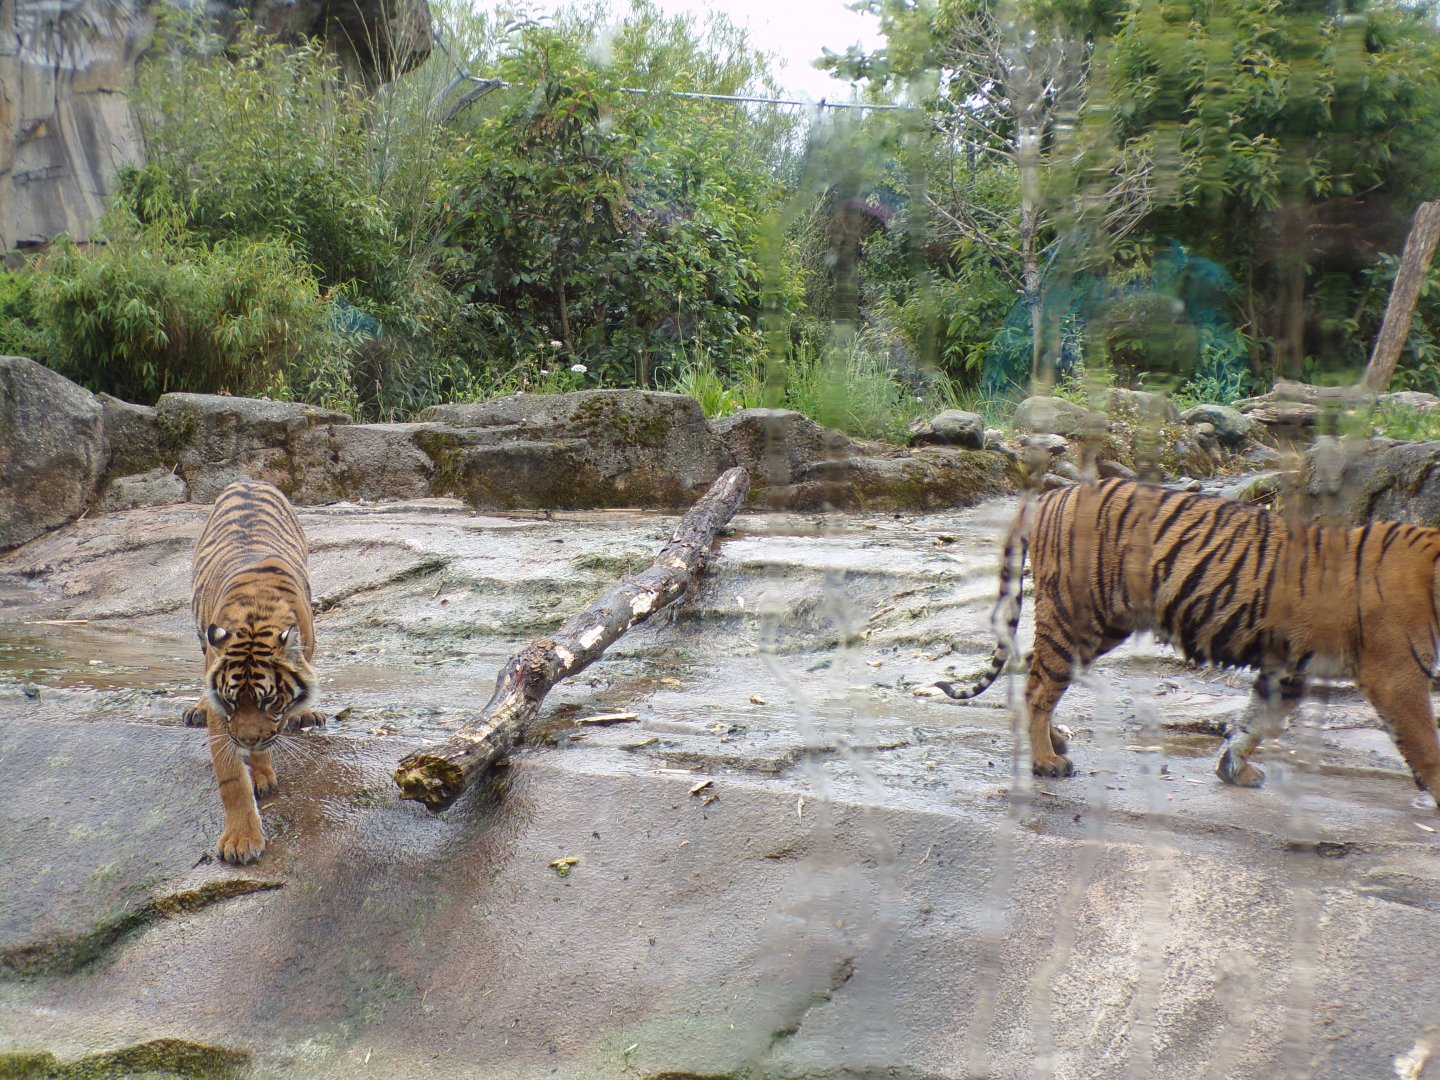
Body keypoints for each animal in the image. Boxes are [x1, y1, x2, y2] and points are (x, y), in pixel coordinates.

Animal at [183, 480, 323, 864]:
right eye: (231, 702)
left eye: (269, 702)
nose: (245, 741)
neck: (256, 617)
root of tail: (247, 480)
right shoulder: (223, 713)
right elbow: (231, 777)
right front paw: (241, 840)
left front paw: (261, 770)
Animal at [932, 476, 1440, 807]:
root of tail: (1053, 493)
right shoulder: (1397, 675)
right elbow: (1427, 743)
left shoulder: (1288, 667)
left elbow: (1257, 721)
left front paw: (1234, 769)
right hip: (1079, 616)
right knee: (1039, 687)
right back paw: (1045, 761)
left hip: (1095, 626)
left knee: (1036, 668)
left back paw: (1055, 740)